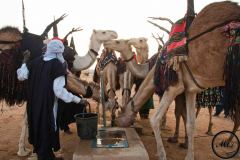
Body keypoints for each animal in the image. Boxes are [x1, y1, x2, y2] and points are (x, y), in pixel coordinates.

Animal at [113, 1, 240, 160]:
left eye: (121, 112)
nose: (116, 121)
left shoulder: (173, 86)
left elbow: (158, 118)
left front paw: (163, 152)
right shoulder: (191, 89)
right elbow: (190, 122)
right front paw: (188, 153)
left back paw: (225, 141)